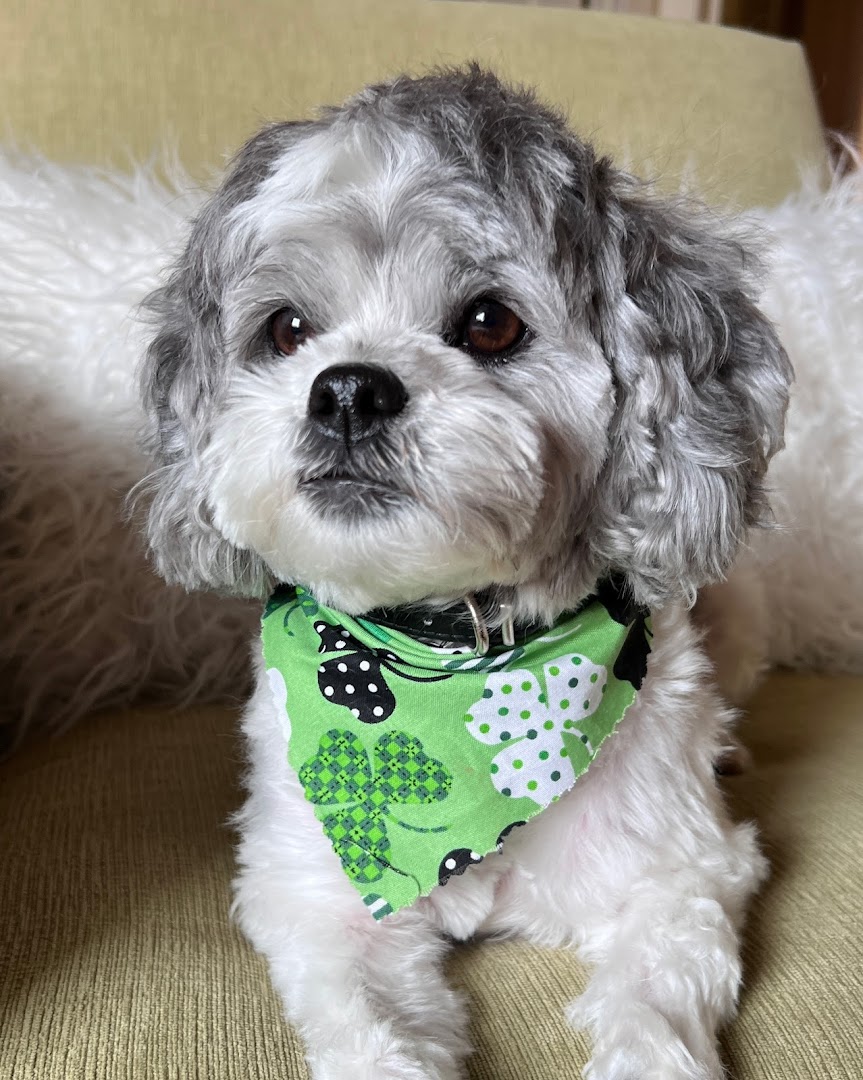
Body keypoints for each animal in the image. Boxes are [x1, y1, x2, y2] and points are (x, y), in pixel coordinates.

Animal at [135, 67, 791, 1080]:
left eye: (489, 323)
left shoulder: (681, 876)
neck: (450, 660)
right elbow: (370, 1028)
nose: (348, 389)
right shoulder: (317, 903)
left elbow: (654, 1006)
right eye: (285, 330)